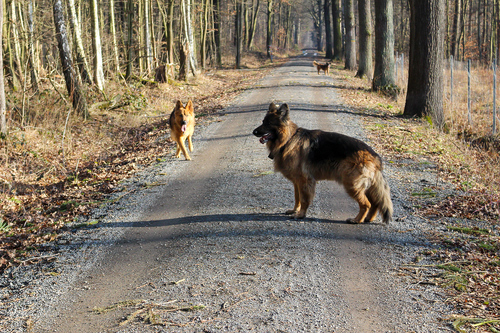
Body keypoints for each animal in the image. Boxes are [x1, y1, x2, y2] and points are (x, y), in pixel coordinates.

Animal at [252, 103, 392, 223]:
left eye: (268, 123)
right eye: (262, 122)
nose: (254, 132)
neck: (288, 140)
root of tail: (374, 155)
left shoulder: (304, 181)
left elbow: (304, 200)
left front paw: (300, 214)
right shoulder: (297, 182)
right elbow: (297, 198)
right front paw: (294, 210)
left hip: (352, 185)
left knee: (366, 204)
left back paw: (357, 220)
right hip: (364, 187)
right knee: (375, 203)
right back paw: (368, 219)